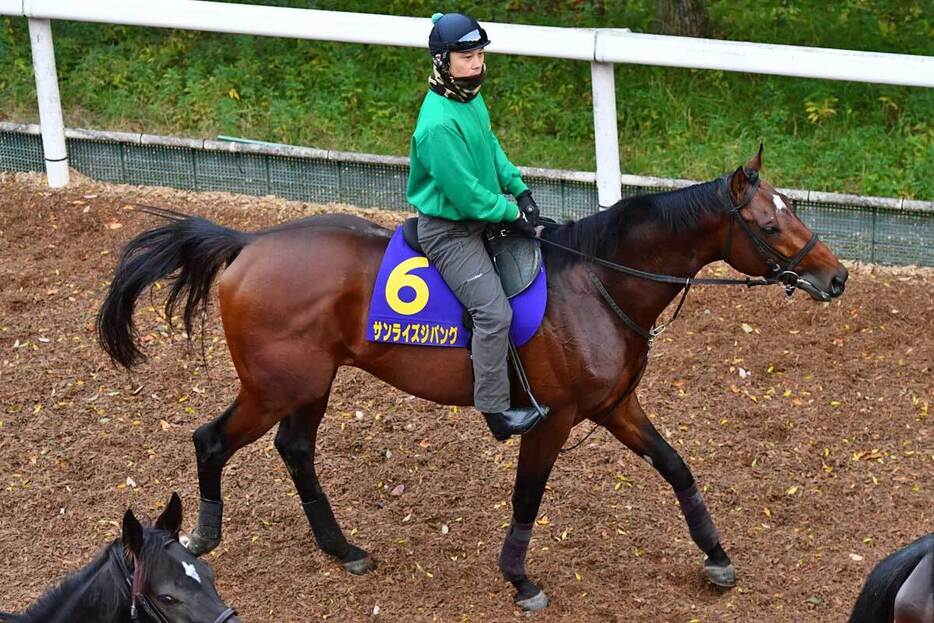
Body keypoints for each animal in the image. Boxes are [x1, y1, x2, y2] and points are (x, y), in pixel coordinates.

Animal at [98, 147, 852, 608]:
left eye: (793, 211)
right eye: (768, 226)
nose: (836, 276)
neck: (599, 281)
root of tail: (249, 244)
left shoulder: (616, 405)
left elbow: (677, 467)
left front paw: (716, 556)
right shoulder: (554, 419)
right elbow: (527, 499)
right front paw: (520, 579)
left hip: (312, 385)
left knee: (295, 450)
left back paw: (343, 549)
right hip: (275, 386)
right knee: (212, 439)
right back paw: (203, 537)